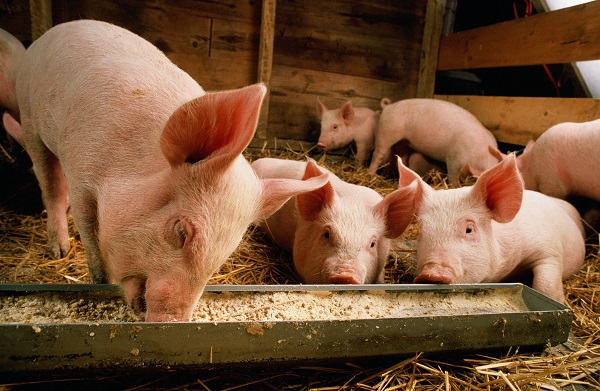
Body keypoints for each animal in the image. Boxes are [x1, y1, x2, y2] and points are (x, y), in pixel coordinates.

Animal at [10, 19, 328, 322]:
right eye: (182, 231)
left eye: (226, 251)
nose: (173, 320)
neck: (122, 167)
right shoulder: (80, 170)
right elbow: (88, 229)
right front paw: (98, 281)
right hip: (29, 118)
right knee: (50, 183)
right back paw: (59, 251)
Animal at [366, 98, 502, 184]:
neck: (482, 155)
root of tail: (388, 106)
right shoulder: (453, 159)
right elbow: (453, 178)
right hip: (386, 132)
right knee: (378, 154)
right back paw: (371, 176)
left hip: (403, 141)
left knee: (402, 157)